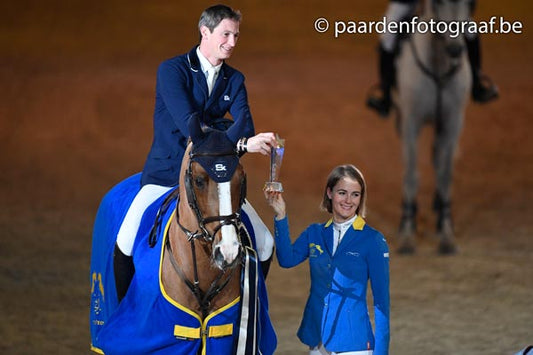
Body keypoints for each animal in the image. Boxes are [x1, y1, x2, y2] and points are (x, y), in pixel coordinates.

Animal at [392, 0, 472, 256]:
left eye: (468, 3)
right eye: (438, 3)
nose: (455, 50)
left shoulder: (453, 121)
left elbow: (446, 174)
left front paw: (446, 235)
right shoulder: (411, 122)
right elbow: (411, 174)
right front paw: (407, 236)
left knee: (438, 159)